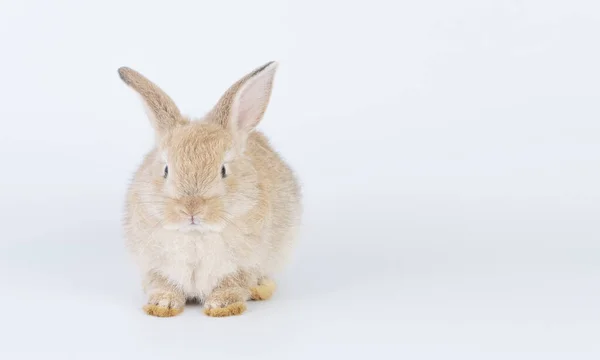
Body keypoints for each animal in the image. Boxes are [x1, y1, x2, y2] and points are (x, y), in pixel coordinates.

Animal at [118, 62, 302, 318]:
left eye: (223, 170)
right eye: (166, 169)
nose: (191, 209)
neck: (196, 234)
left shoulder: (243, 266)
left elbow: (232, 284)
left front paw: (222, 307)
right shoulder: (156, 266)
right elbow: (163, 285)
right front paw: (161, 305)